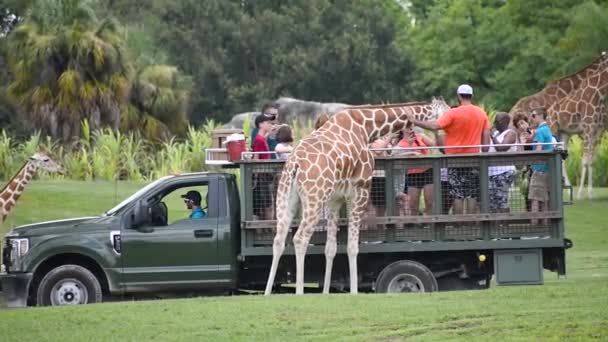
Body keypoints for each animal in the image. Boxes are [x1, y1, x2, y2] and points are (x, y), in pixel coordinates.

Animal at [264, 98, 448, 294]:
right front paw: (353, 291)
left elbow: (331, 248)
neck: (366, 127)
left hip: (287, 197)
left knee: (279, 239)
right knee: (299, 238)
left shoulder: (335, 199)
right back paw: (299, 293)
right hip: (315, 198)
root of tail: (295, 164)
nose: (445, 128)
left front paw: (326, 292)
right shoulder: (360, 190)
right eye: (446, 110)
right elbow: (353, 247)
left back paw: (267, 293)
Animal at [548, 58, 608, 198]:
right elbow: (585, 161)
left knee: (563, 157)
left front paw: (591, 193)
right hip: (554, 129)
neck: (599, 93)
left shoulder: (597, 131)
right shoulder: (588, 129)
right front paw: (581, 193)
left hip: (564, 133)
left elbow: (591, 161)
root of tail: (548, 112)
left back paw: (566, 188)